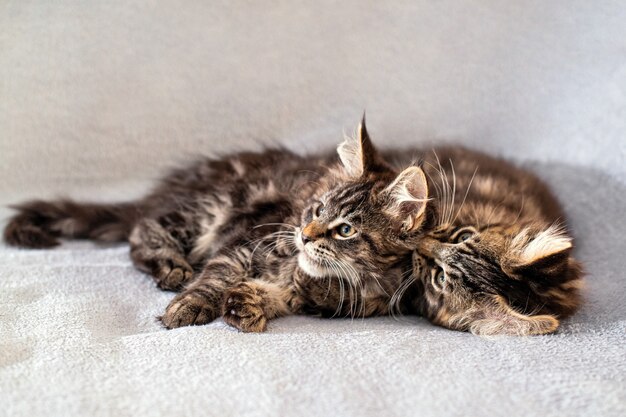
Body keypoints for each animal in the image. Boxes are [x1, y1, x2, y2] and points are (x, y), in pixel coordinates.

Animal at [3, 119, 428, 332]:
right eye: (316, 210)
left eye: (345, 230)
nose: (305, 237)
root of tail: (169, 187)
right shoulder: (245, 241)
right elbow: (215, 277)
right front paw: (189, 306)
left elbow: (282, 297)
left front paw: (249, 305)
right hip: (210, 208)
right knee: (142, 230)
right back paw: (172, 267)